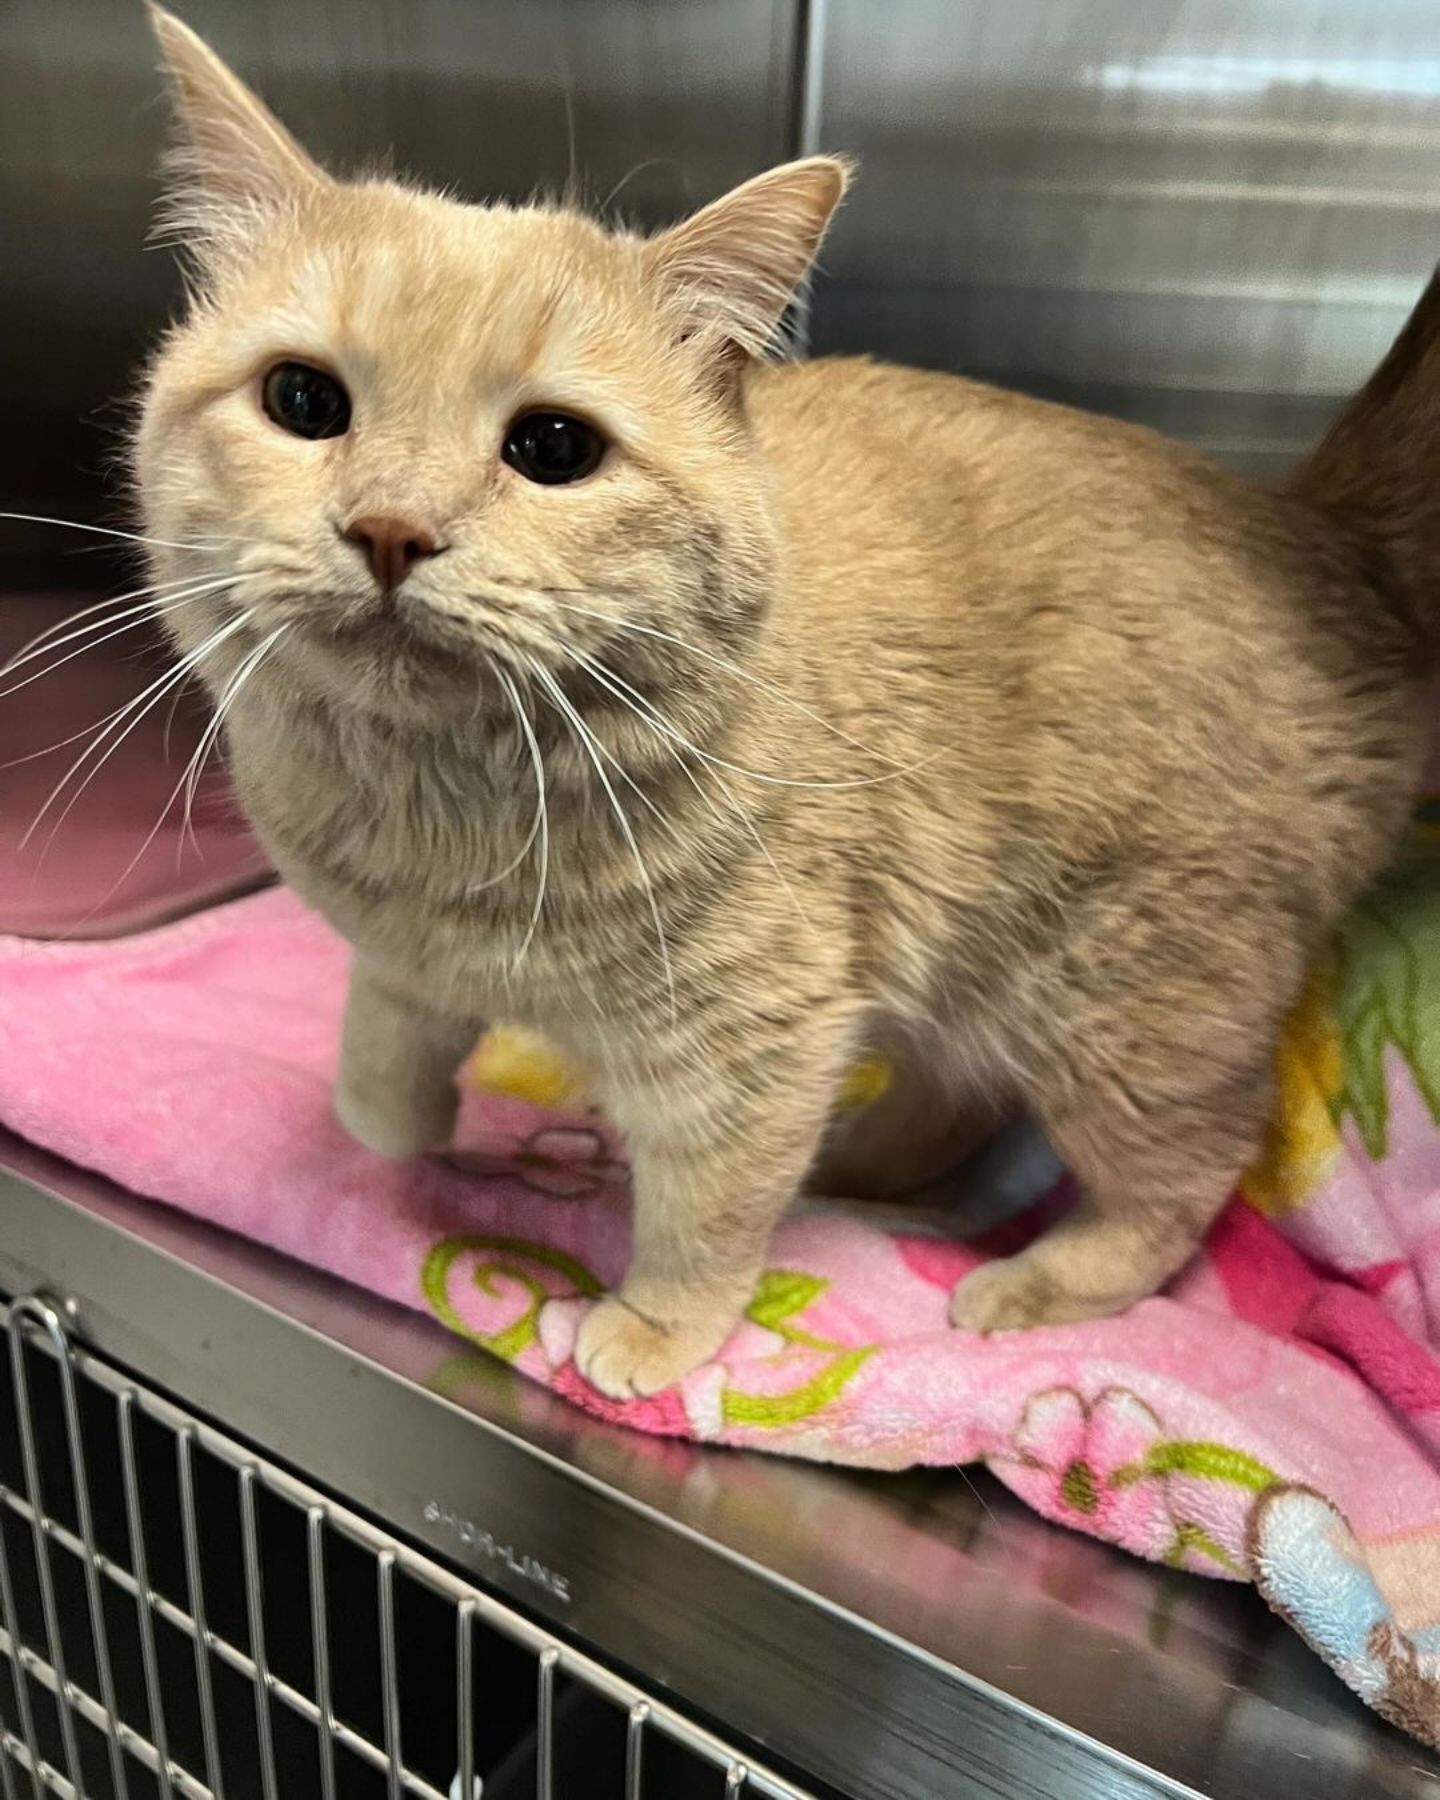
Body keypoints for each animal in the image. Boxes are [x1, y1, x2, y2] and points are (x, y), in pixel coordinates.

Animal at [132, 7, 1425, 1396]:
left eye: (552, 448)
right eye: (303, 400)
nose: (389, 529)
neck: (444, 804)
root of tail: (1315, 534)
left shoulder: (757, 1040)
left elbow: (708, 1205)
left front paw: (656, 1326)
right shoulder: (407, 958)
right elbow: (380, 1062)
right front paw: (405, 1128)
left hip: (1126, 1002)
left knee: (1186, 1165)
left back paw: (1033, 1279)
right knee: (954, 1109)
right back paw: (852, 1176)